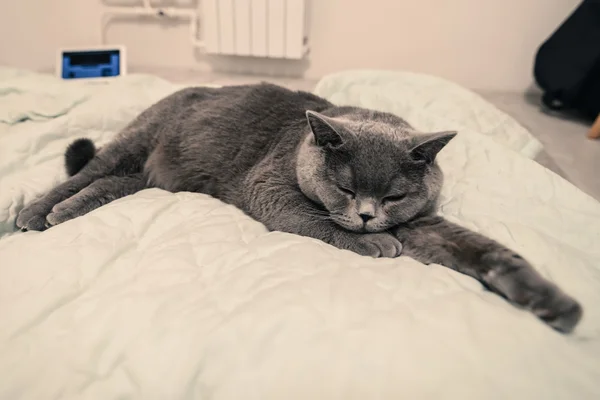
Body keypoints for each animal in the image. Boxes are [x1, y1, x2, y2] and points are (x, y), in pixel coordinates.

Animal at [17, 84, 580, 334]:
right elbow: (316, 220)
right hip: (137, 139)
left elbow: (489, 252)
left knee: (108, 185)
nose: (369, 215)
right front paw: (376, 243)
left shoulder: (424, 223)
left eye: (394, 196)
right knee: (87, 171)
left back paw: (66, 212)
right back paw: (37, 213)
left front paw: (554, 303)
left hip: (146, 177)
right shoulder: (269, 187)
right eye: (347, 189)